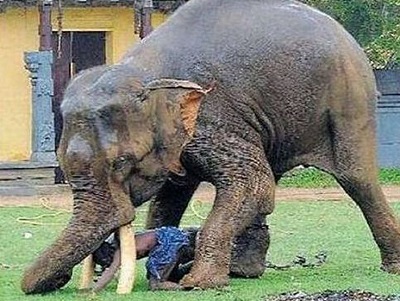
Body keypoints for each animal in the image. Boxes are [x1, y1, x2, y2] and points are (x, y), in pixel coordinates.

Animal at [21, 0, 400, 292]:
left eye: (123, 163)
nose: (60, 282)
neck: (147, 74)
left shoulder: (214, 120)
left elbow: (249, 184)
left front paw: (197, 283)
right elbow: (171, 196)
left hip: (350, 96)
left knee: (355, 178)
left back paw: (390, 267)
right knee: (270, 181)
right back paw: (243, 271)